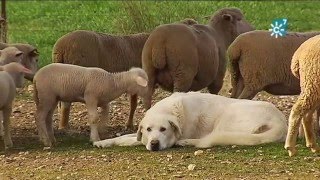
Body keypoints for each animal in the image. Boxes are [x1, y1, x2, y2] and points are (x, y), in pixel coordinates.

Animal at [93, 91, 288, 150]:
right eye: (148, 129)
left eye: (163, 129)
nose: (154, 144)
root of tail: (281, 122)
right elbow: (123, 137)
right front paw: (102, 142)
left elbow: (129, 140)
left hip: (226, 118)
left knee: (206, 141)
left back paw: (186, 142)